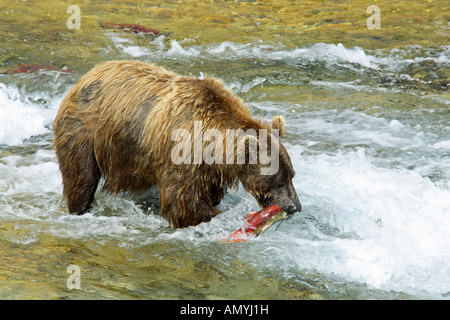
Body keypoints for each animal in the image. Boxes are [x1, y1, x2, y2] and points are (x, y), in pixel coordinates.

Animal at [53, 60, 302, 228]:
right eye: (280, 179)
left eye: (292, 174)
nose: (296, 207)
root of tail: (85, 76)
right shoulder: (181, 154)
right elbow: (183, 204)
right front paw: (227, 217)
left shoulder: (208, 168)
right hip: (84, 132)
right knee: (81, 178)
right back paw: (80, 208)